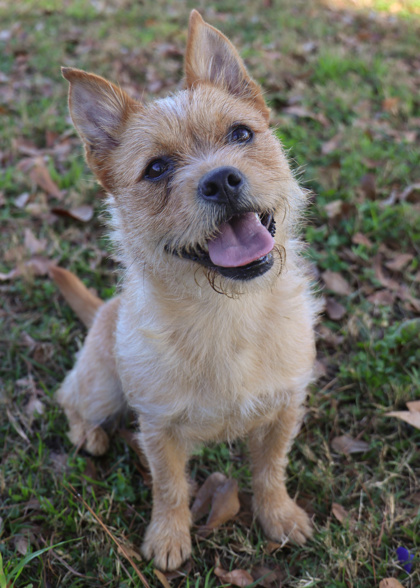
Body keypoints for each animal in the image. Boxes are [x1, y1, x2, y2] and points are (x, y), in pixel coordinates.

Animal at [54, 9, 320, 568]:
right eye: (157, 168)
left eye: (241, 133)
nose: (221, 180)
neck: (225, 312)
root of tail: (105, 309)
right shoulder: (157, 428)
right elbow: (170, 486)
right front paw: (169, 536)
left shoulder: (285, 408)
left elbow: (270, 470)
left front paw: (279, 515)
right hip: (102, 387)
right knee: (70, 396)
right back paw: (88, 432)